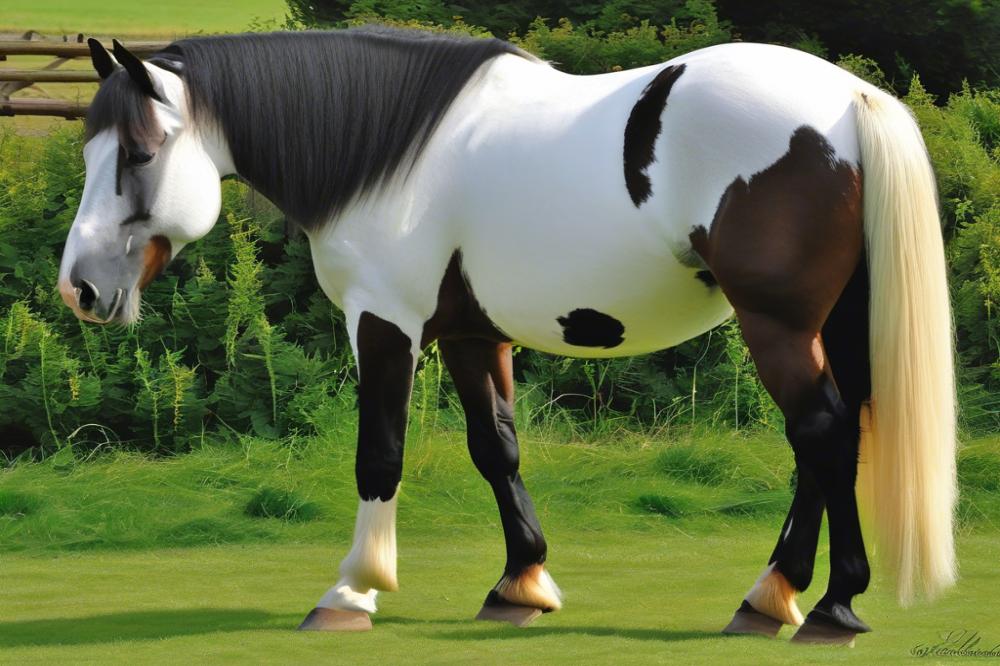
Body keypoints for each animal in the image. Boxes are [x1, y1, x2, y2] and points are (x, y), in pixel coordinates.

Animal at [58, 27, 956, 644]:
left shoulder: (384, 321)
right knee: (831, 436)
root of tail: (849, 103)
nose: (80, 289)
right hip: (828, 321)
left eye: (138, 152)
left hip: (777, 324)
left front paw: (352, 590)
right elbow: (497, 448)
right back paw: (781, 597)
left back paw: (823, 604)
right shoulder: (469, 334)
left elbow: (379, 455)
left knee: (821, 431)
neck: (393, 157)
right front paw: (520, 585)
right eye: (93, 150)